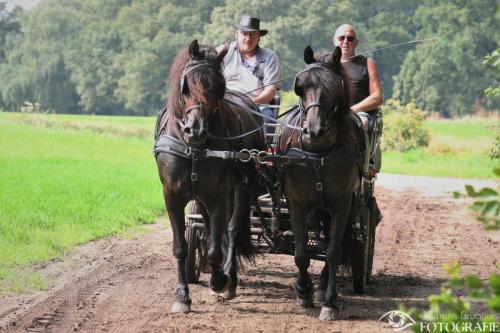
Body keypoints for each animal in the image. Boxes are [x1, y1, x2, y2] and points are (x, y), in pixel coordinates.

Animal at [154, 40, 266, 312]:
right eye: (186, 85)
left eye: (219, 87)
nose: (195, 130)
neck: (192, 148)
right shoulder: (172, 195)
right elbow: (181, 246)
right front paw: (182, 296)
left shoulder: (217, 196)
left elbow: (217, 244)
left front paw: (219, 280)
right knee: (208, 228)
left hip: (241, 189)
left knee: (232, 230)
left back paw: (230, 280)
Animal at [278, 46, 364, 320]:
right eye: (301, 86)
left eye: (334, 87)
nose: (313, 132)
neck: (319, 153)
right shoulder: (296, 202)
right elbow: (301, 253)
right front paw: (303, 291)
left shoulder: (342, 203)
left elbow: (334, 252)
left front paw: (329, 302)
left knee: (332, 245)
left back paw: (325, 285)